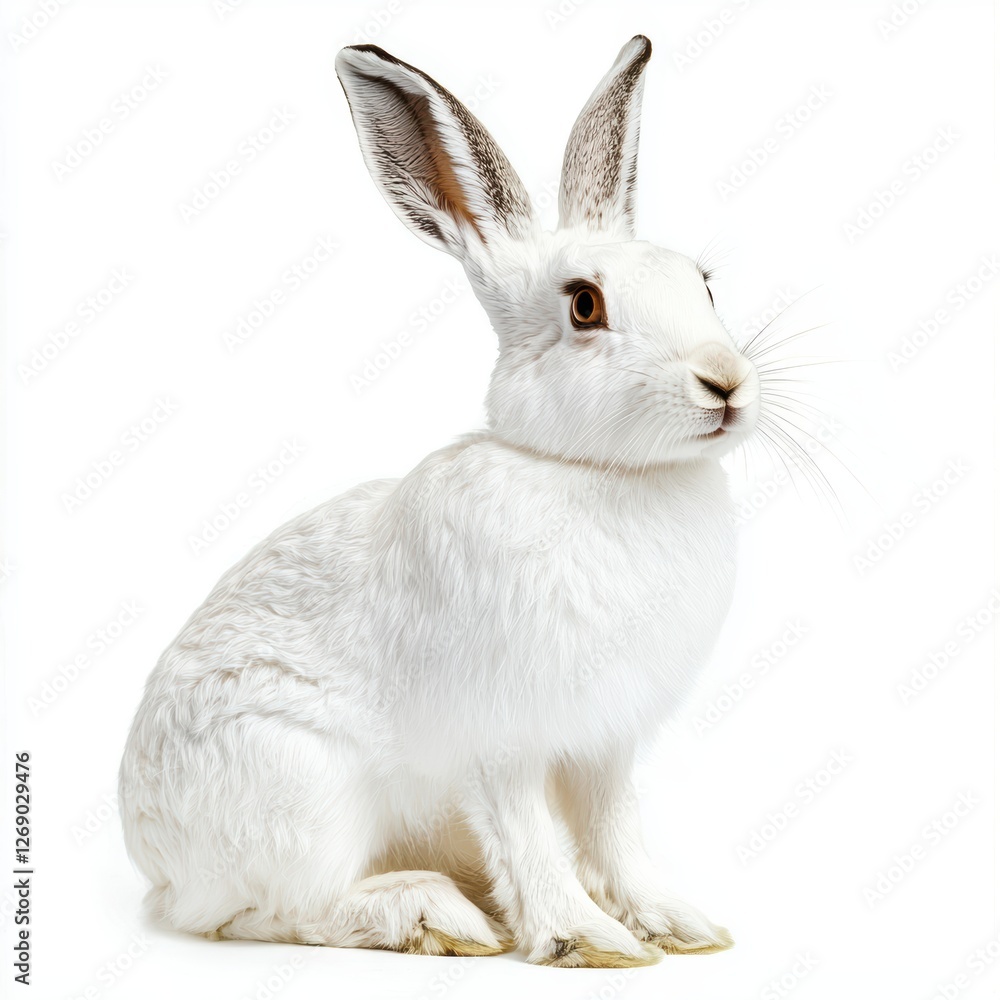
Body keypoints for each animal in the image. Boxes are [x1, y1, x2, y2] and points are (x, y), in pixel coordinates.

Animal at [119, 34, 761, 968]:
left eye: (704, 285)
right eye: (585, 304)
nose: (727, 383)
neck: (595, 473)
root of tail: (153, 858)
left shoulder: (605, 742)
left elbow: (616, 834)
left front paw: (678, 928)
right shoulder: (502, 739)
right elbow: (531, 840)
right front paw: (585, 940)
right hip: (301, 794)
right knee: (272, 911)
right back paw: (435, 916)